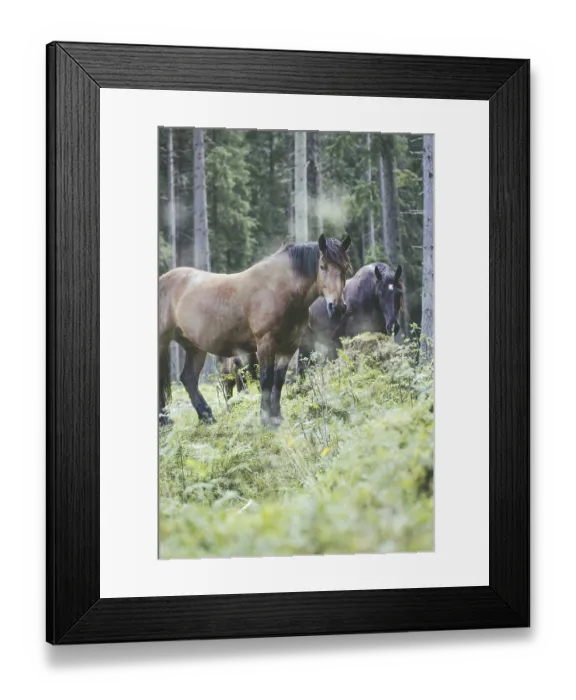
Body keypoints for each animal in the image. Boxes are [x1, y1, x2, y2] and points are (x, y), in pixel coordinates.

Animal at [158, 234, 352, 427]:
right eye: (322, 266)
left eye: (345, 267)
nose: (337, 308)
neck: (278, 289)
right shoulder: (265, 343)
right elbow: (266, 379)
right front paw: (266, 419)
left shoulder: (289, 346)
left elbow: (278, 380)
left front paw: (277, 417)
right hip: (163, 342)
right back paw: (165, 420)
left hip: (194, 347)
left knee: (188, 378)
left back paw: (207, 417)